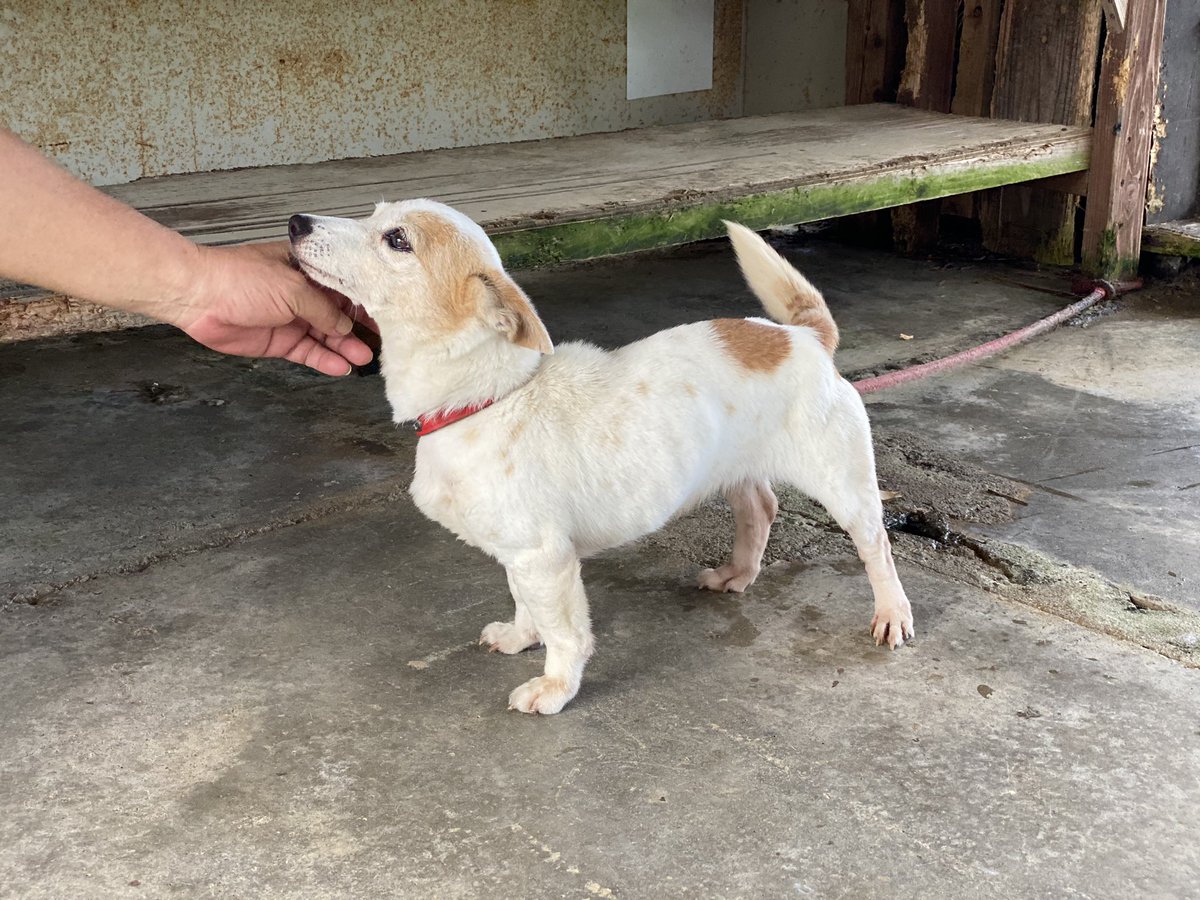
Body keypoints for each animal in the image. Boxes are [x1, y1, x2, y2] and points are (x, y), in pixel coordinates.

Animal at [288, 200, 907, 715]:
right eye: (373, 212)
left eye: (396, 239)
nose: (296, 222)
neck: (486, 397)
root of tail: (803, 337)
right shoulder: (522, 556)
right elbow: (524, 602)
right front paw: (521, 636)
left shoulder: (545, 558)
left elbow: (566, 634)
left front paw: (555, 687)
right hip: (736, 470)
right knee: (761, 508)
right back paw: (737, 573)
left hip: (843, 485)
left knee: (876, 545)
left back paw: (891, 615)